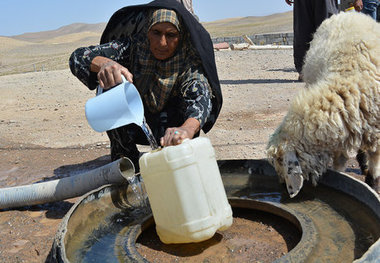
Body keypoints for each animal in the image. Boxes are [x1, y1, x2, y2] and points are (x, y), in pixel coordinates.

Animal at [268, 12, 380, 198]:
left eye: (279, 162)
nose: (282, 187)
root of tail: (347, 13)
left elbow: (375, 161)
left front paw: (373, 184)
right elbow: (339, 161)